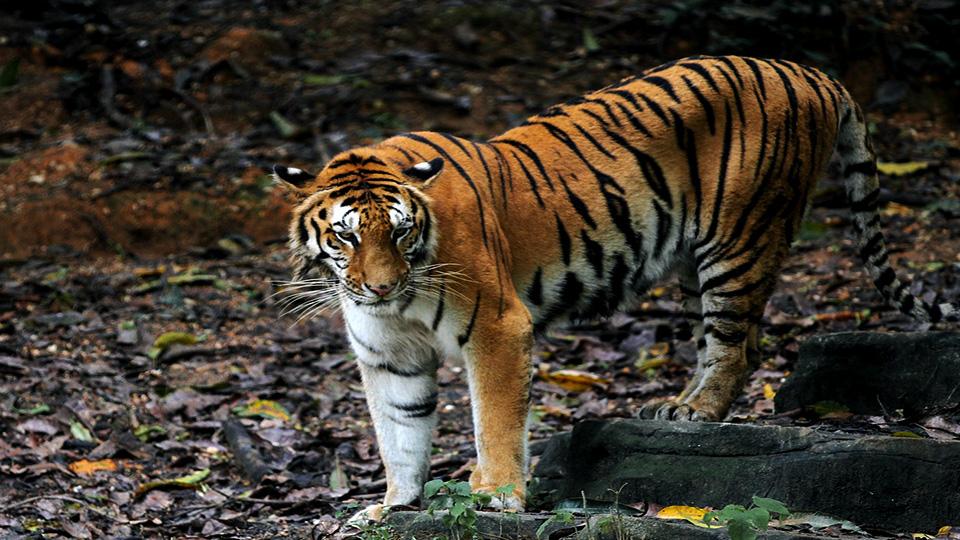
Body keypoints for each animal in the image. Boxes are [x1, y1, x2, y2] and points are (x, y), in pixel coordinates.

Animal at [271, 55, 958, 521]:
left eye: (401, 231)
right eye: (346, 236)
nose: (380, 287)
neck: (399, 301)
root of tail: (811, 71)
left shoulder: (496, 325)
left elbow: (494, 418)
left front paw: (496, 495)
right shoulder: (388, 354)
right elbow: (400, 434)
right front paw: (393, 506)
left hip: (740, 238)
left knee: (740, 345)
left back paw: (696, 412)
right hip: (696, 266)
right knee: (726, 343)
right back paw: (678, 411)